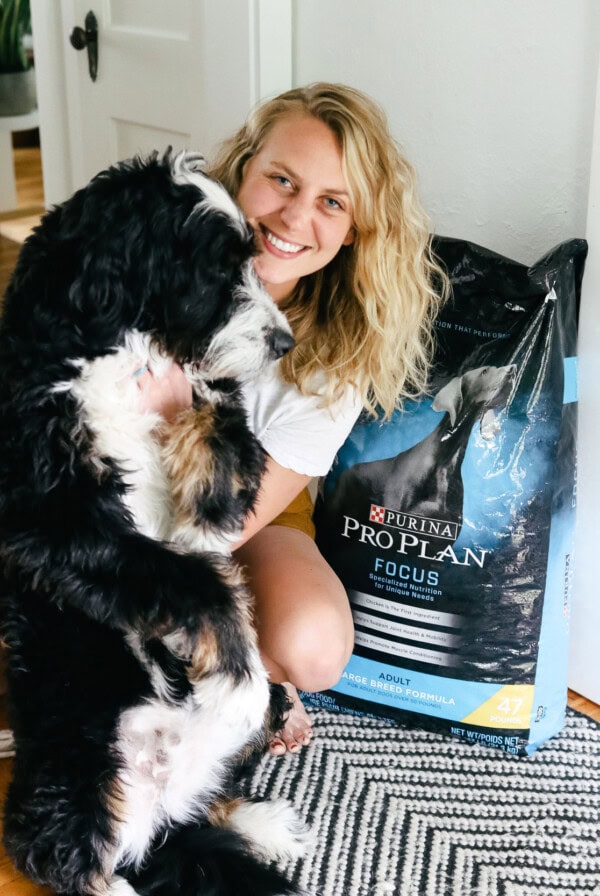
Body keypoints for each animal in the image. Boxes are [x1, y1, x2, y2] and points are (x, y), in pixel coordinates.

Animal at [0, 150, 308, 896]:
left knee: (210, 805)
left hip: (263, 723)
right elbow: (193, 580)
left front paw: (206, 524)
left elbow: (221, 428)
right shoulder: (54, 519)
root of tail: (158, 801)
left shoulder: (211, 394)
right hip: (75, 769)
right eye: (215, 271)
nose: (283, 343)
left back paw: (267, 824)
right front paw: (231, 678)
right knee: (73, 858)